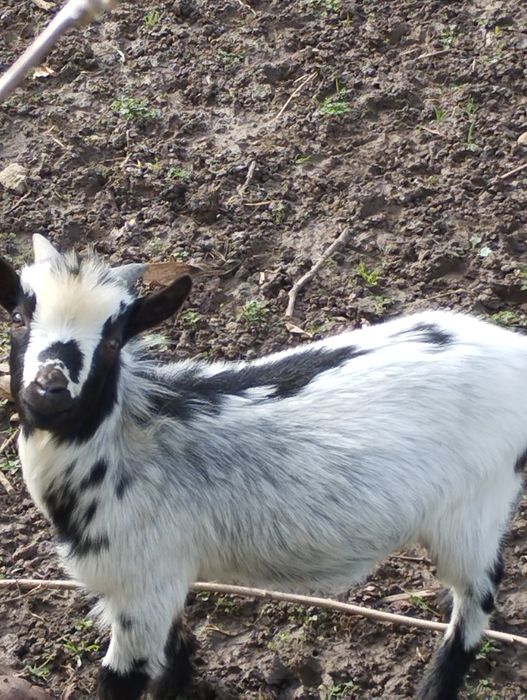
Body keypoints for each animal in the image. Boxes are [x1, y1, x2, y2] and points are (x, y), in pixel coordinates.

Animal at [0, 234, 524, 700]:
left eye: (112, 341)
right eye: (21, 317)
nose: (49, 387)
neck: (124, 446)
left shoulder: (140, 583)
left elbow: (122, 679)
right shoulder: (161, 580)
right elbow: (177, 649)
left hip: (474, 503)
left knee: (481, 592)